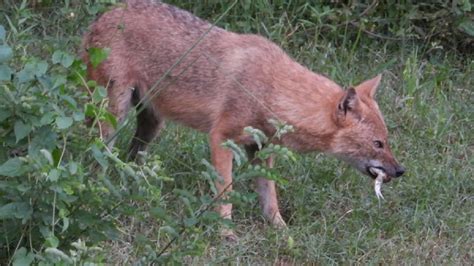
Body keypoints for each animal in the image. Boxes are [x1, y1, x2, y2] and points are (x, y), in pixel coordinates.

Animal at [80, 0, 404, 237]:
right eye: (378, 144)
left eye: (387, 141)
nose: (400, 171)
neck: (272, 91)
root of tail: (102, 15)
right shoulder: (221, 139)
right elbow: (226, 191)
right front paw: (226, 234)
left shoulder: (261, 151)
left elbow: (270, 199)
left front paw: (282, 232)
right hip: (114, 115)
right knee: (96, 153)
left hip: (151, 124)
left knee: (130, 157)